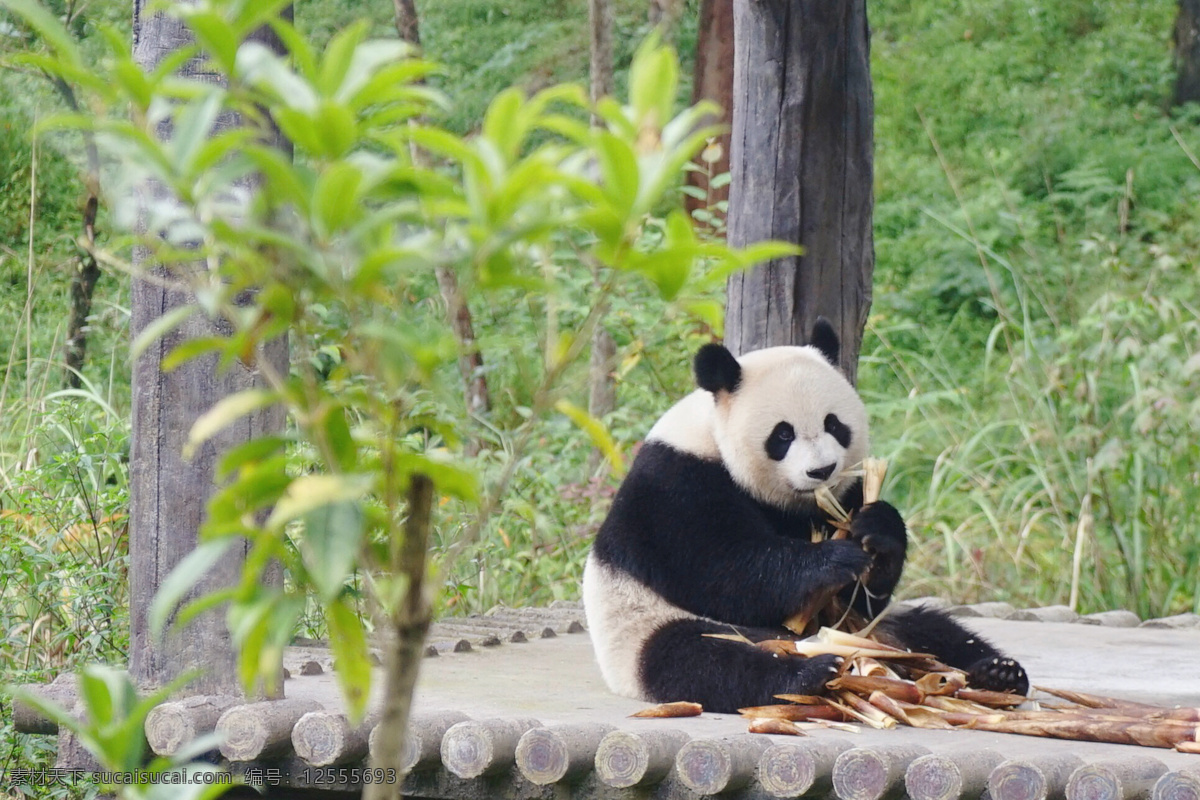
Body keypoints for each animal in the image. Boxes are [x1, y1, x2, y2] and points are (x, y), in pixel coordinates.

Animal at [576, 319, 1027, 714]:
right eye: (782, 434)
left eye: (834, 424)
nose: (821, 470)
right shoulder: (675, 485)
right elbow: (720, 569)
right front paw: (832, 560)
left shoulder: (839, 496)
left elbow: (863, 590)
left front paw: (877, 532)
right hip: (644, 630)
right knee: (704, 661)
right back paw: (807, 674)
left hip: (872, 627)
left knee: (932, 630)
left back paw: (999, 672)